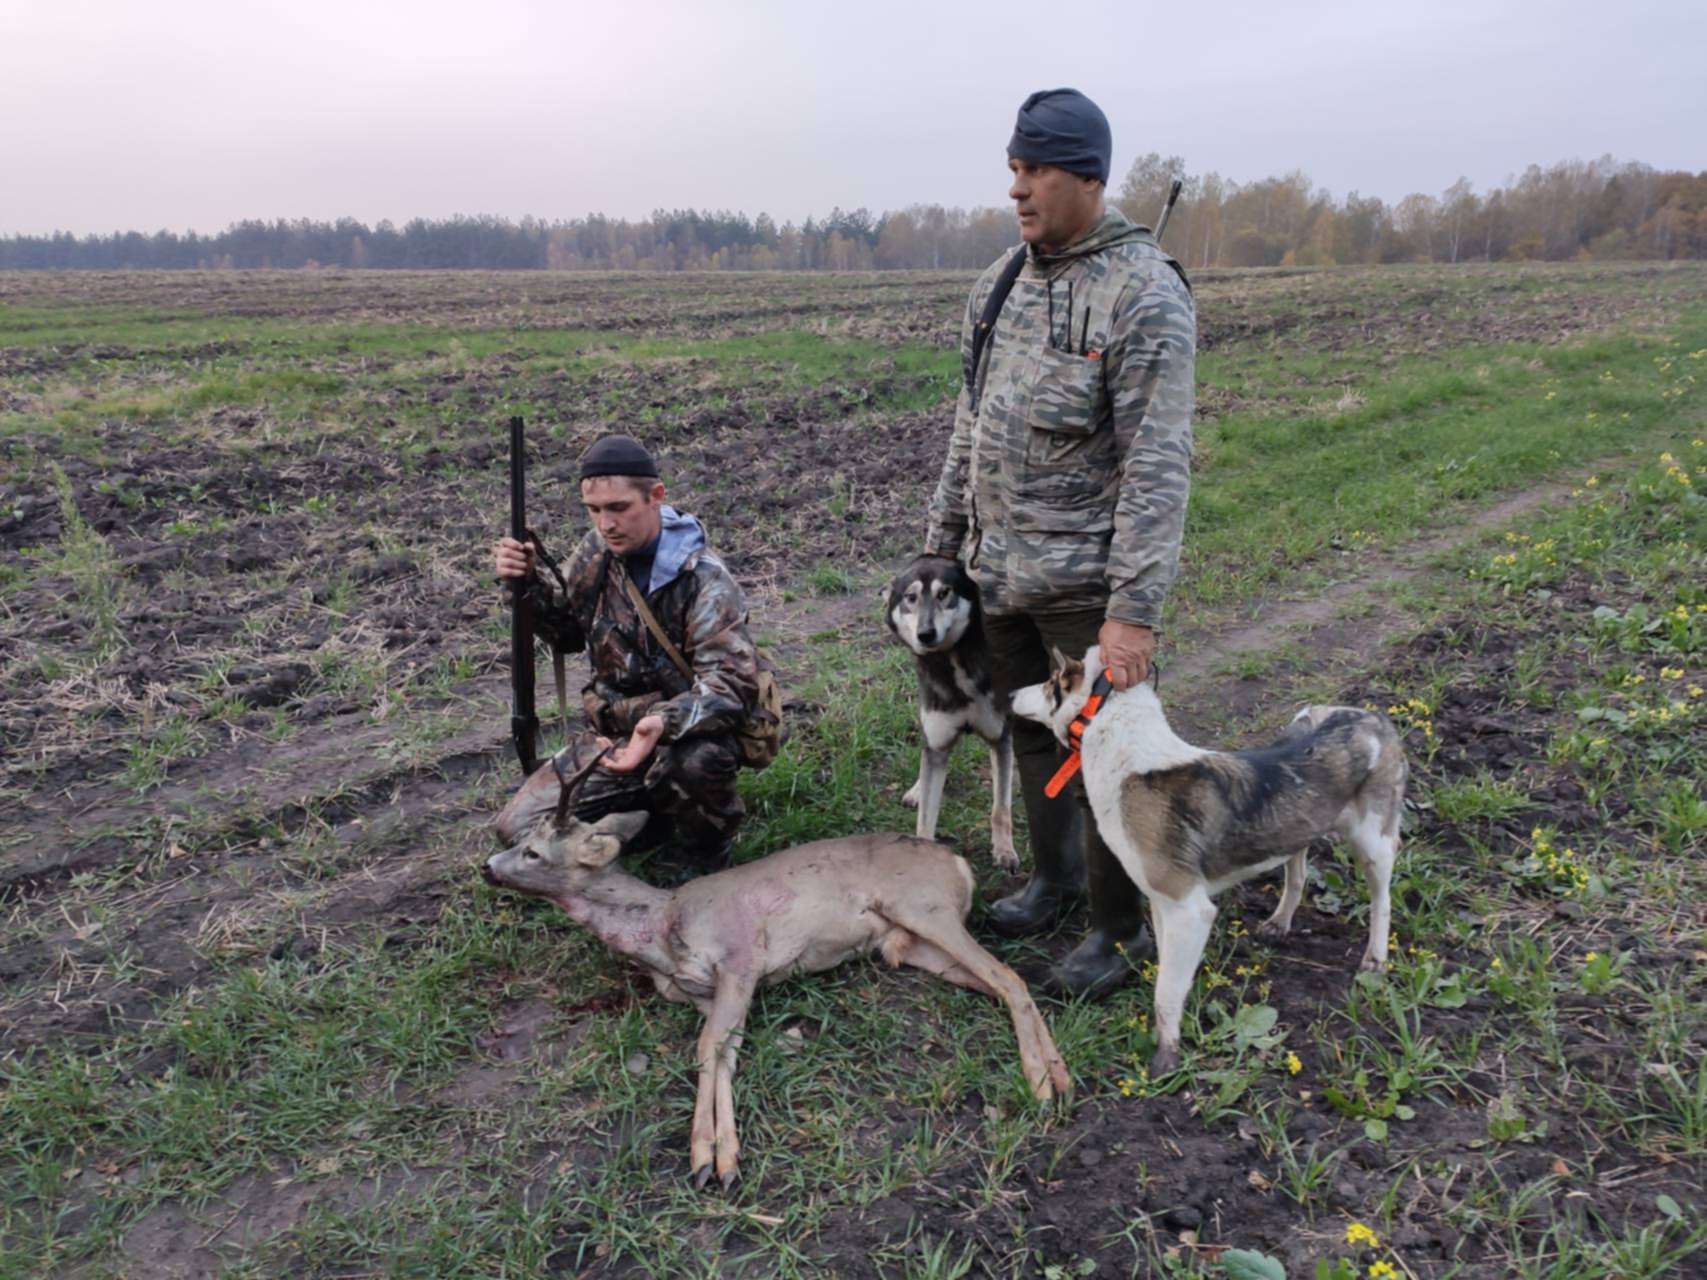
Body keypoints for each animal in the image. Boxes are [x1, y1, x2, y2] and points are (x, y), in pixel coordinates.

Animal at [481, 757, 1065, 1187]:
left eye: (533, 852)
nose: (488, 866)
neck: (664, 930)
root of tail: (958, 864)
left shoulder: (741, 957)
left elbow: (709, 1047)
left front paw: (712, 1159)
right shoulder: (705, 992)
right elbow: (721, 1052)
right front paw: (717, 1159)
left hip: (925, 907)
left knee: (1009, 977)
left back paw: (1040, 1085)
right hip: (911, 946)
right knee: (1003, 984)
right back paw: (1059, 1075)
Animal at [894, 552, 1010, 873]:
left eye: (944, 593)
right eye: (910, 598)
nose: (925, 634)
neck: (953, 663)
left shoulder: (1001, 738)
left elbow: (1001, 808)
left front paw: (1004, 851)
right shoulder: (937, 743)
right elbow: (924, 822)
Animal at [1010, 645, 1399, 1078]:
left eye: (1049, 683)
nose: (1010, 694)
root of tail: (1371, 717)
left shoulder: (1188, 909)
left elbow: (1165, 991)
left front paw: (1166, 1058)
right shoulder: (1163, 906)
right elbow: (1168, 976)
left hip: (1373, 842)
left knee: (1382, 900)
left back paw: (1375, 959)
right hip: (1300, 822)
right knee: (1296, 869)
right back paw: (1280, 921)